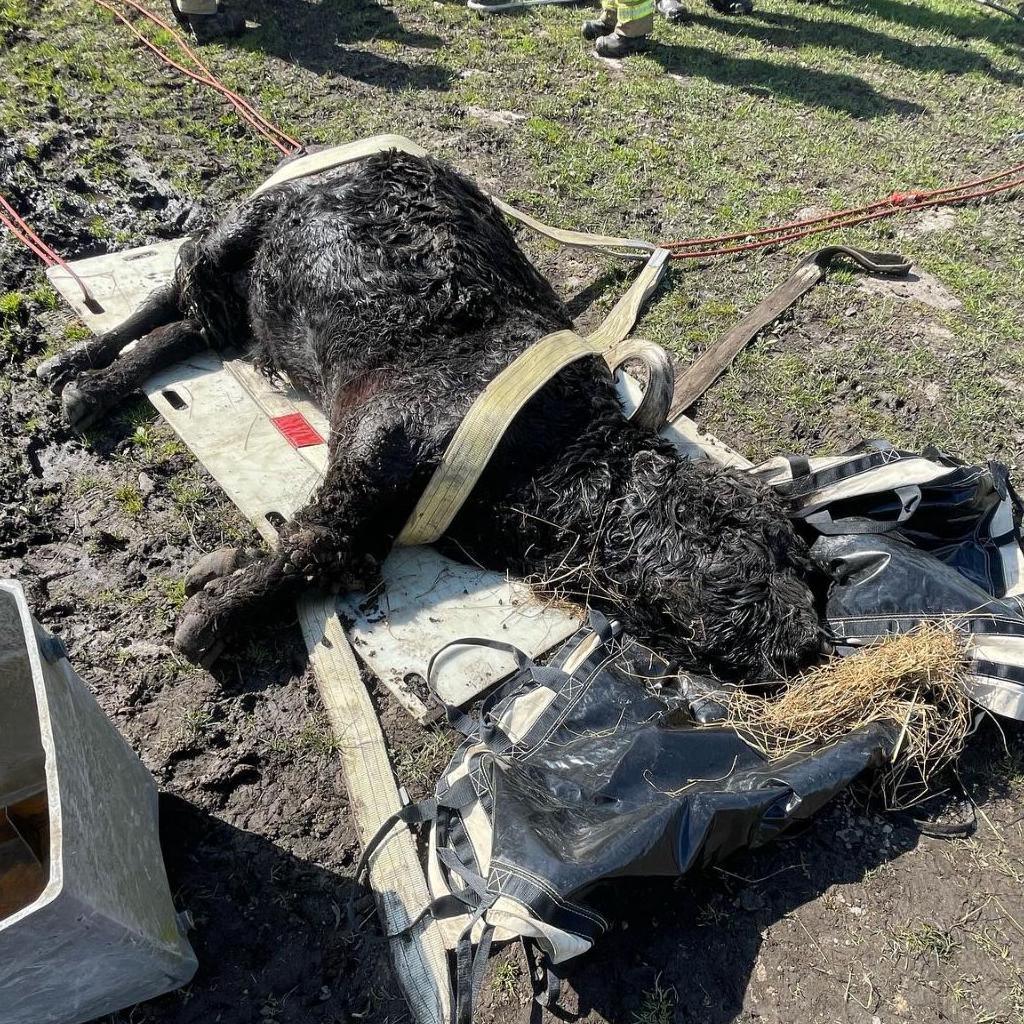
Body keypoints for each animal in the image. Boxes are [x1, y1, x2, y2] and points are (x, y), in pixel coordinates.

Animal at [39, 151, 827, 679]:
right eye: (765, 553)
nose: (811, 644)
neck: (550, 455)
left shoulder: (369, 523)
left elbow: (318, 552)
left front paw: (220, 582)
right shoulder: (370, 458)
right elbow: (305, 546)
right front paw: (211, 618)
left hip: (248, 305)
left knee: (187, 329)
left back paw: (93, 387)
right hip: (230, 235)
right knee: (166, 297)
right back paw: (78, 369)